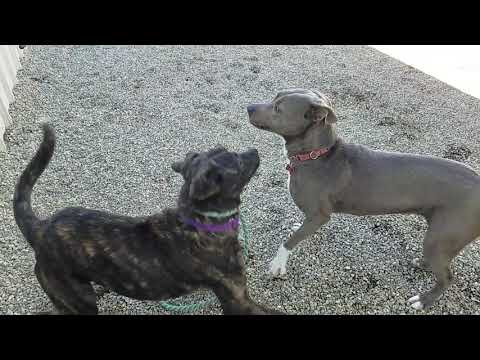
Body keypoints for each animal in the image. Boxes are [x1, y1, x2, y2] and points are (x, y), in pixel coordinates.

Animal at [14, 124, 282, 316]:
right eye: (237, 160)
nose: (255, 151)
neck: (201, 220)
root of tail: (40, 228)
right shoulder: (238, 301)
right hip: (81, 301)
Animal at [248, 88, 480, 310]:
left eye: (278, 109)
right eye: (274, 97)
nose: (249, 107)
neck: (317, 155)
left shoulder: (320, 215)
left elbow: (290, 241)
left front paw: (278, 264)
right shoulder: (313, 217)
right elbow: (300, 231)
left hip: (441, 236)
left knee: (447, 277)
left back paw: (424, 300)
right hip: (440, 236)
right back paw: (421, 264)